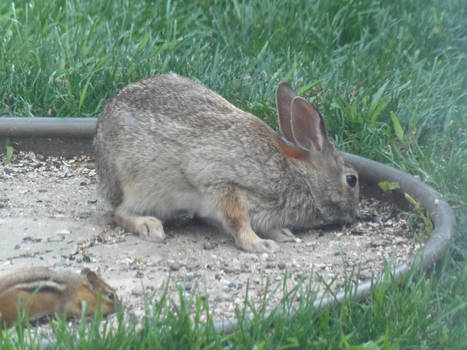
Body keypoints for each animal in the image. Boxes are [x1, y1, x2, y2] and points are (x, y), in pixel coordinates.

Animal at [94, 74, 358, 253]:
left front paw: (282, 234)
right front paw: (259, 244)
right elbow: (238, 219)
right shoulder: (223, 185)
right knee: (120, 212)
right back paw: (150, 226)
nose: (356, 215)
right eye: (352, 180)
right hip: (138, 187)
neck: (301, 175)